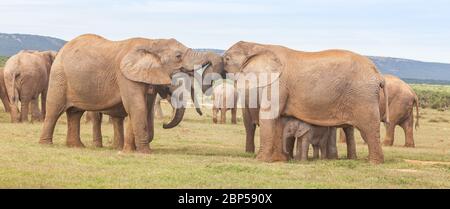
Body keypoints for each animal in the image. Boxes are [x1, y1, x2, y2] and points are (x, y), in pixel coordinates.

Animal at [38, 33, 223, 153]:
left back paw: (76, 147)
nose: (164, 125)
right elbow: (137, 107)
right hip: (58, 77)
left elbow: (145, 109)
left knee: (75, 113)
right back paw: (46, 145)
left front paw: (133, 149)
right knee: (54, 110)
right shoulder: (125, 76)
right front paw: (145, 152)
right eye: (178, 56)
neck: (152, 42)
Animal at [223, 41, 388, 164]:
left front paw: (261, 160)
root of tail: (378, 74)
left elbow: (269, 113)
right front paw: (280, 160)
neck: (259, 45)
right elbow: (280, 119)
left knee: (368, 127)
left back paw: (373, 162)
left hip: (363, 96)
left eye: (227, 59)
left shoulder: (278, 83)